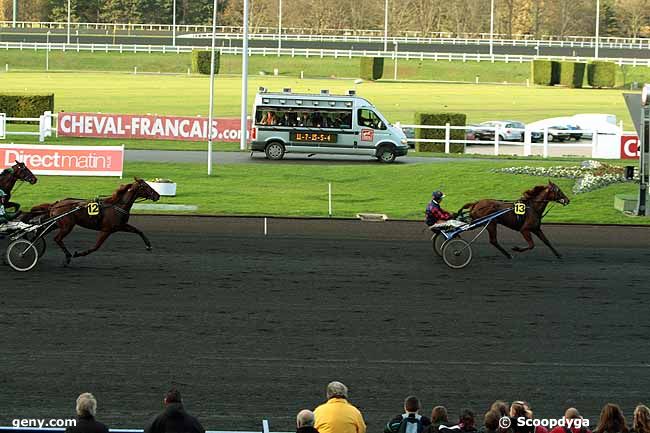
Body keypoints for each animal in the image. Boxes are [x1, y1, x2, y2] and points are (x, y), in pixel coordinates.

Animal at [26, 177, 161, 264]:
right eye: (146, 186)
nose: (157, 195)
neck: (116, 205)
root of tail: (56, 204)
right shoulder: (106, 230)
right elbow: (96, 247)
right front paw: (79, 253)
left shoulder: (121, 226)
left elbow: (139, 231)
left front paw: (149, 245)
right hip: (66, 226)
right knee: (57, 238)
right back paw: (67, 256)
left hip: (56, 223)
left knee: (41, 232)